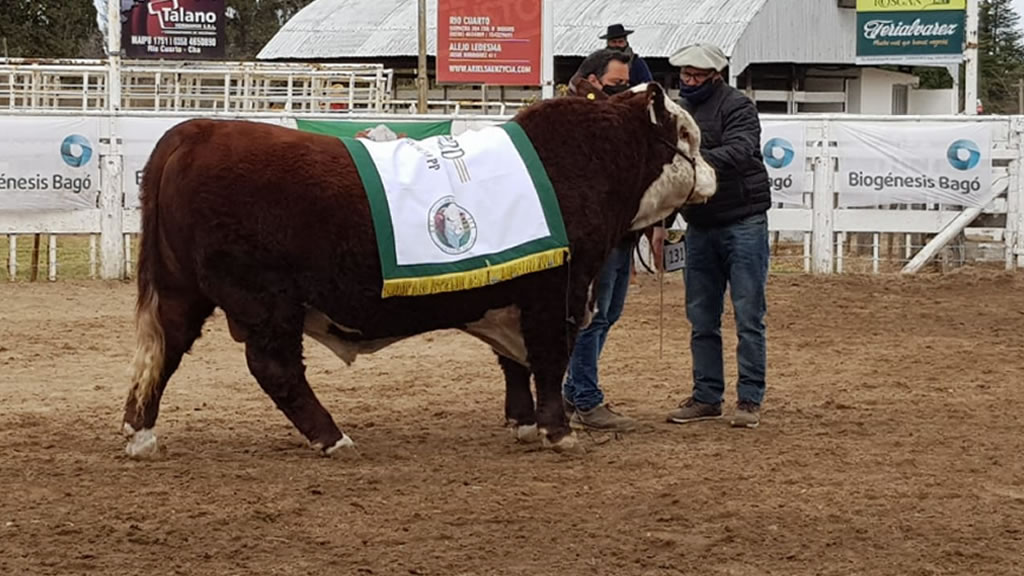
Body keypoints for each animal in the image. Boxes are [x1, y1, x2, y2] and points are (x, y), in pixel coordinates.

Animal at [121, 81, 712, 457]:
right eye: (687, 135)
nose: (713, 175)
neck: (582, 163)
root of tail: (195, 132)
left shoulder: (514, 288)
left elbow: (513, 361)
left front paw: (522, 424)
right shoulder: (556, 292)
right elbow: (548, 359)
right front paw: (558, 431)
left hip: (182, 293)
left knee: (161, 354)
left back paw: (138, 434)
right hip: (266, 302)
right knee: (274, 368)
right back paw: (333, 438)